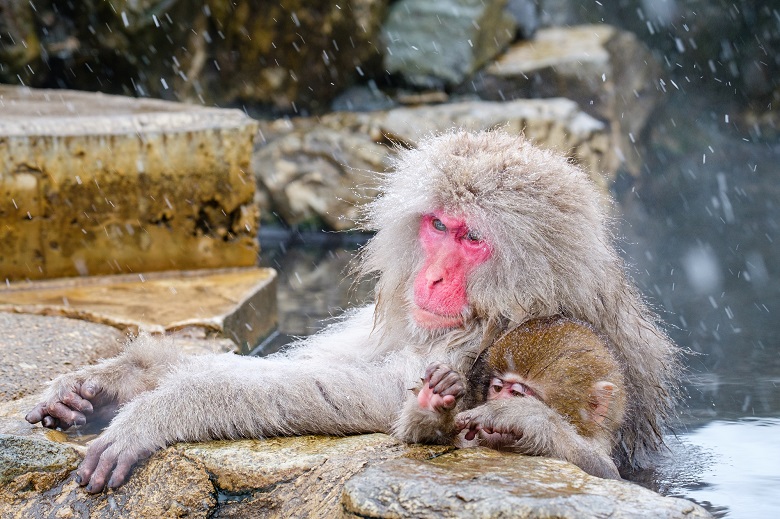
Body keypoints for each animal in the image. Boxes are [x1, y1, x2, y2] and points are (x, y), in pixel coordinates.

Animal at [27, 129, 680, 492]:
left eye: (471, 238)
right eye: (437, 225)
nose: (432, 276)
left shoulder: (476, 348)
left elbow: (349, 394)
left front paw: (158, 412)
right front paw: (117, 378)